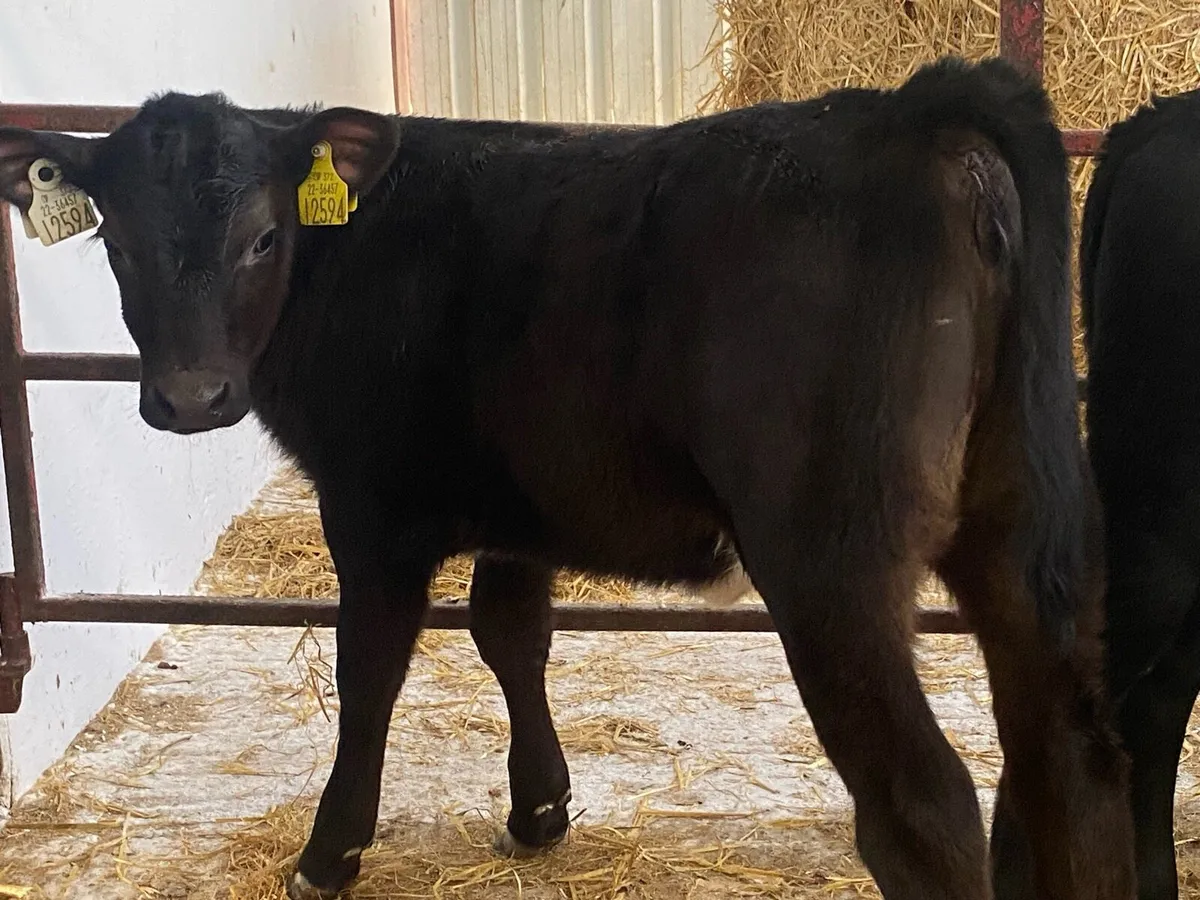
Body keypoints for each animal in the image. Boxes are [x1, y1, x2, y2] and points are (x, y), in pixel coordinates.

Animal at [0, 55, 1135, 900]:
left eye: (264, 236)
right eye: (118, 244)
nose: (190, 396)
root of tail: (904, 114)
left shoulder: (371, 506)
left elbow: (369, 673)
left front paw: (330, 852)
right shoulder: (523, 500)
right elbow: (513, 634)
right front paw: (540, 806)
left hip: (831, 561)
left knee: (925, 804)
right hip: (1017, 526)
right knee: (1069, 758)